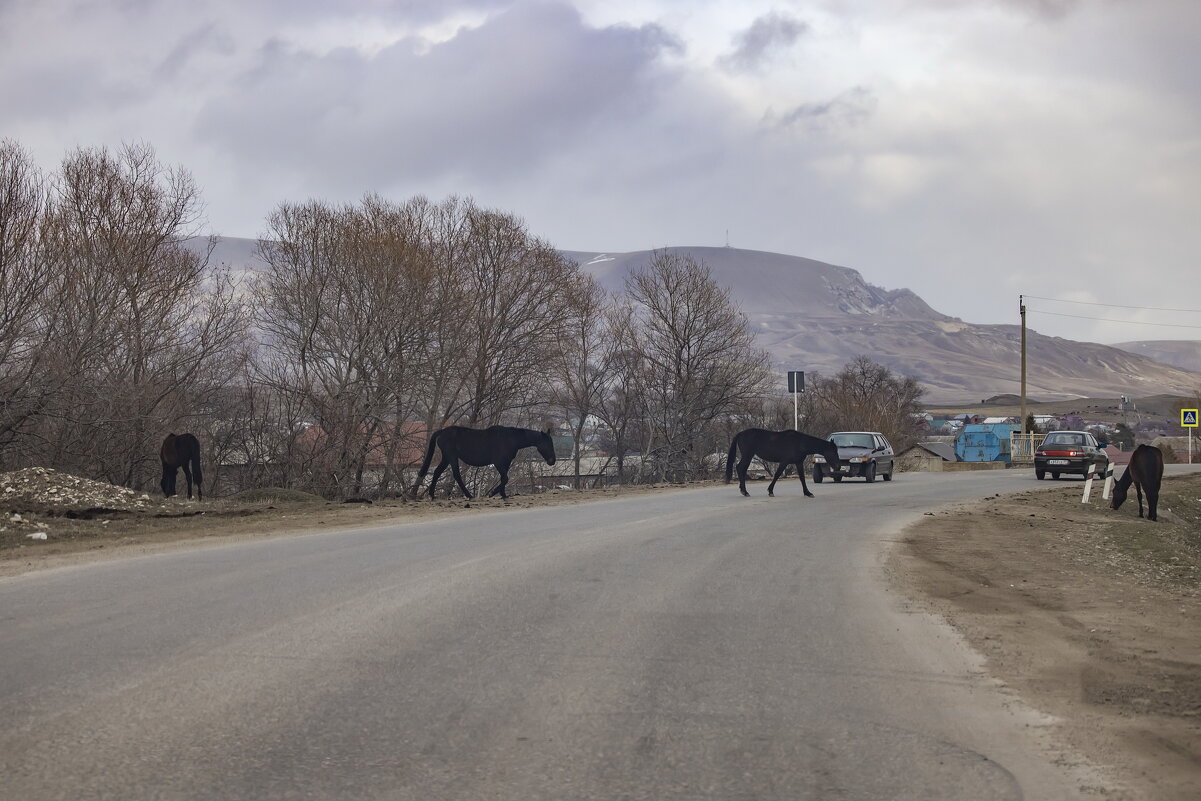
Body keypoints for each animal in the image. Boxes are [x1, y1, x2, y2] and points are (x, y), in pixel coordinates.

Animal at [417, 422, 557, 497]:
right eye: (548, 443)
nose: (553, 461)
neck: (511, 439)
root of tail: (441, 432)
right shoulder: (498, 462)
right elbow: (505, 478)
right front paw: (493, 493)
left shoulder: (506, 463)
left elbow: (504, 478)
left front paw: (503, 494)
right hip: (451, 457)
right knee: (456, 475)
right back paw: (469, 496)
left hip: (446, 458)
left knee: (437, 472)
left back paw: (432, 495)